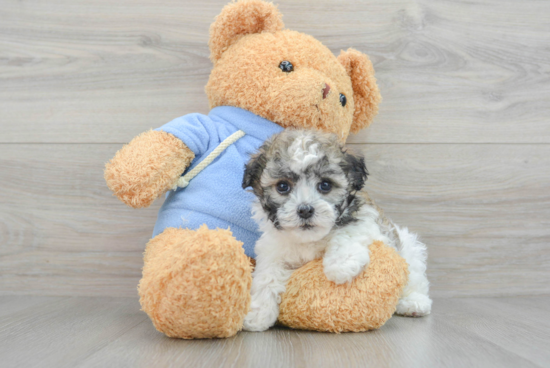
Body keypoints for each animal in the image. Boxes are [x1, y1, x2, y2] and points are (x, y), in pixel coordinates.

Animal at [244, 129, 434, 330]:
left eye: (325, 185)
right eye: (282, 186)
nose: (305, 210)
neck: (310, 239)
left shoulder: (369, 221)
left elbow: (347, 231)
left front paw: (341, 265)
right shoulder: (273, 249)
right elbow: (267, 275)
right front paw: (257, 314)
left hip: (409, 248)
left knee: (415, 277)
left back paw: (414, 302)